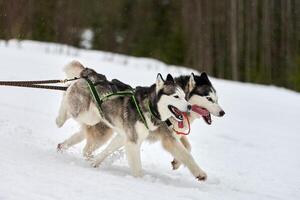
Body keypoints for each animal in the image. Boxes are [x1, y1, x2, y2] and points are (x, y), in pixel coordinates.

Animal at [57, 64, 224, 181]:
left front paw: (176, 162)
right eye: (209, 99)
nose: (223, 112)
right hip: (90, 119)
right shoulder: (166, 138)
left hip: (97, 124)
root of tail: (92, 74)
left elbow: (187, 148)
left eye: (217, 99)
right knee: (68, 99)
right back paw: (60, 118)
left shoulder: (133, 136)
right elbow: (186, 154)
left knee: (83, 141)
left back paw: (63, 147)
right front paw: (199, 173)